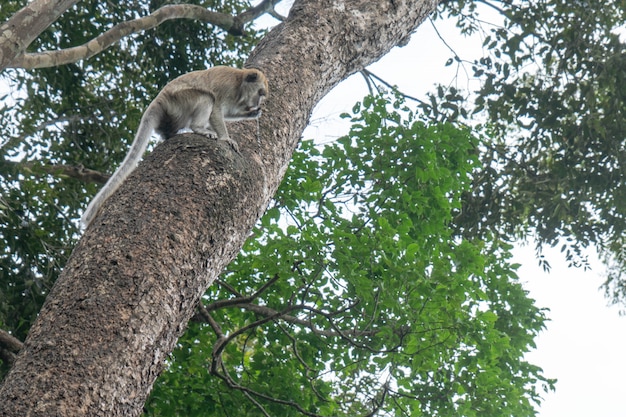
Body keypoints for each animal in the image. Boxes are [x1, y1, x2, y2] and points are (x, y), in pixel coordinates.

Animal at [79, 66, 266, 228]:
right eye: (260, 93)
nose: (258, 101)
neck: (239, 83)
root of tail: (159, 99)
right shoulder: (226, 86)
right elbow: (216, 110)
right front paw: (226, 138)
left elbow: (228, 113)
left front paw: (251, 113)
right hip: (179, 101)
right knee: (206, 98)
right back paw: (199, 128)